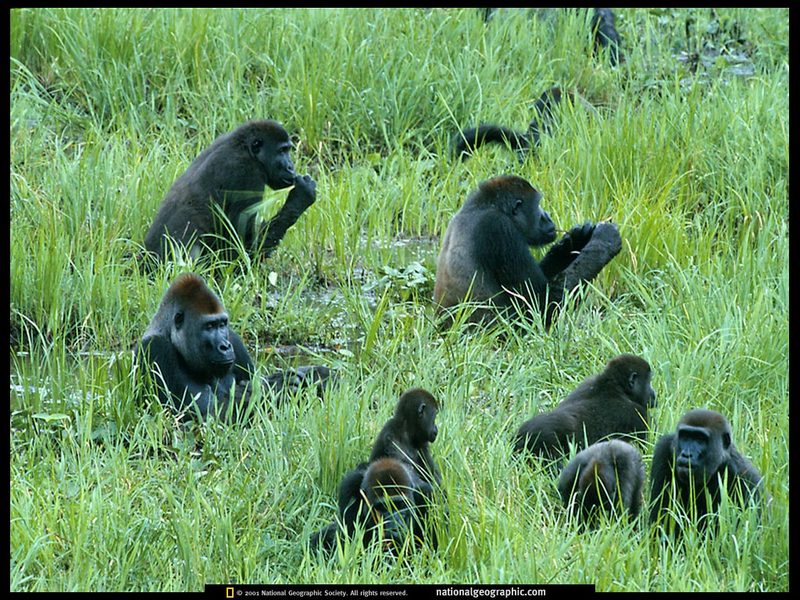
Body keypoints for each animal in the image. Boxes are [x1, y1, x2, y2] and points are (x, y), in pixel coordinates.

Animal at [144, 119, 316, 262]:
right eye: (281, 151)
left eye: (288, 150)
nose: (291, 167)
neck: (245, 148)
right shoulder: (246, 174)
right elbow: (243, 247)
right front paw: (301, 197)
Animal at [434, 175, 620, 328]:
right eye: (538, 204)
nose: (547, 216)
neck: (482, 206)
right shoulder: (499, 228)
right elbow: (542, 303)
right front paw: (605, 239)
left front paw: (575, 239)